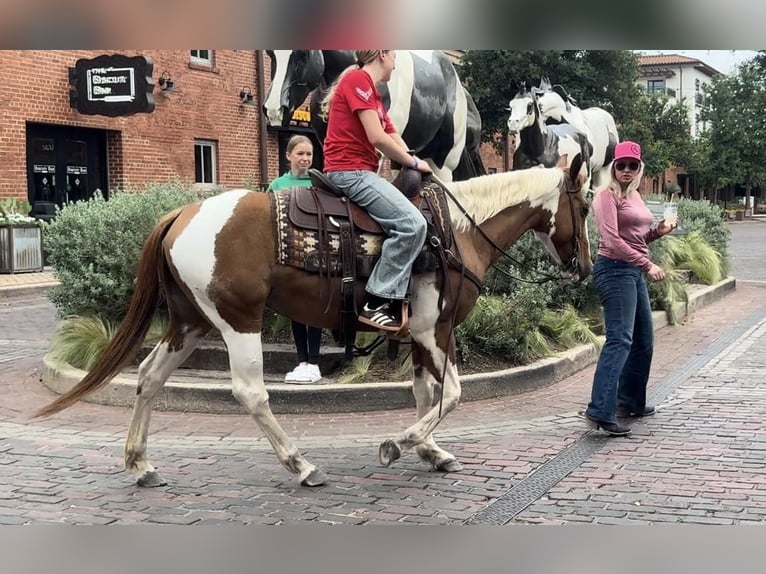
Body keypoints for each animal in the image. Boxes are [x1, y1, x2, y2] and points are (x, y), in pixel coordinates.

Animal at [36, 158, 592, 490]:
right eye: (585, 204)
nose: (585, 266)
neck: (455, 231)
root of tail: (182, 213)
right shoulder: (435, 330)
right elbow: (451, 395)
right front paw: (398, 445)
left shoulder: (419, 333)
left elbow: (424, 395)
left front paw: (431, 451)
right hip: (239, 319)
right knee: (251, 392)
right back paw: (300, 464)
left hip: (191, 322)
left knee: (150, 376)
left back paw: (140, 463)